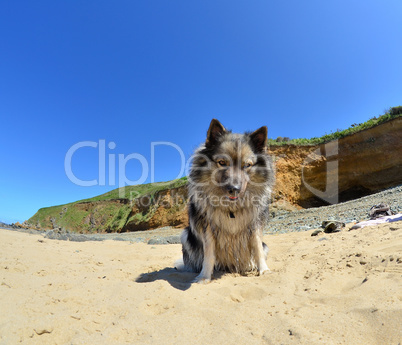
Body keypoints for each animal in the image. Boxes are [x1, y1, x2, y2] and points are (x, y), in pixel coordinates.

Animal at [181, 119, 274, 282]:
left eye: (247, 165)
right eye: (222, 162)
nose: (234, 189)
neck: (232, 208)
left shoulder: (254, 225)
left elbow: (257, 248)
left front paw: (264, 270)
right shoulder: (207, 227)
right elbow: (209, 254)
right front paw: (204, 277)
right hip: (185, 236)